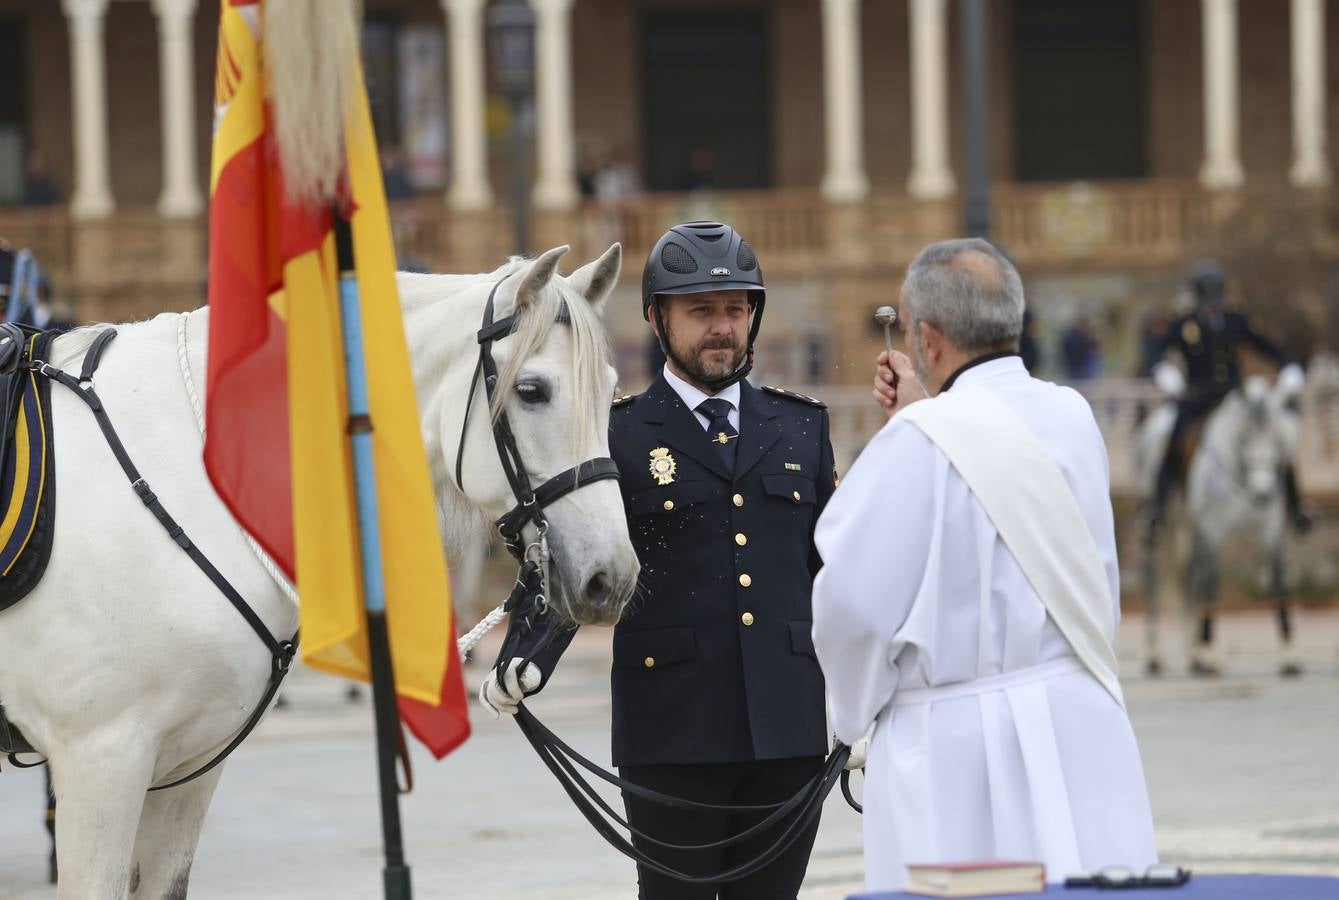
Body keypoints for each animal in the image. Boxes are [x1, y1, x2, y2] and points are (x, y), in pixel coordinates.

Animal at [1135, 372, 1301, 675]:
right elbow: (1211, 583)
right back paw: (1155, 654)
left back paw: (1193, 651)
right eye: (1244, 437)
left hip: (1188, 525)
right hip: (1159, 525)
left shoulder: (1272, 532)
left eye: (1278, 440)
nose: (1262, 492)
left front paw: (1288, 653)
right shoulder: (1211, 530)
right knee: (1153, 577)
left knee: (1187, 573)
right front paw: (1210, 651)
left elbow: (1278, 582)